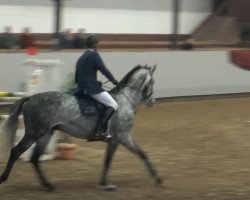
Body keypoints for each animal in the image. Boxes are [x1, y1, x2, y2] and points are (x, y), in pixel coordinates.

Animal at [0, 65, 162, 191]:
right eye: (152, 81)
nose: (152, 101)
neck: (124, 101)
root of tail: (31, 98)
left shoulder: (117, 139)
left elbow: (113, 159)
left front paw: (105, 183)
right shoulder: (122, 137)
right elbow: (137, 155)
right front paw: (157, 179)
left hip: (46, 134)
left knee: (35, 158)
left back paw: (48, 185)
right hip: (34, 133)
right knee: (16, 151)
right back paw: (4, 178)